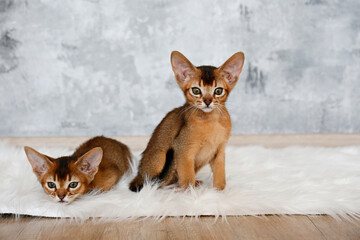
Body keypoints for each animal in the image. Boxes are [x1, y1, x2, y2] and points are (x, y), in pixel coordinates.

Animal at [129, 51, 245, 192]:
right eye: (196, 90)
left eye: (218, 91)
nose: (207, 101)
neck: (211, 121)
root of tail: (138, 175)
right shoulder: (183, 149)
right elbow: (187, 177)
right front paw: (189, 193)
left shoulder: (219, 151)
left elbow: (220, 174)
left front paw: (220, 191)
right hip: (159, 159)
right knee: (159, 184)